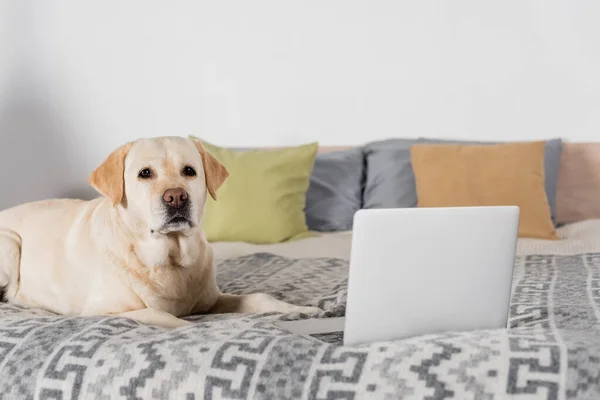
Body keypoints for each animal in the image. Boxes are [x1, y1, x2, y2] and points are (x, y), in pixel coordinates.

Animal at [0, 138, 322, 328]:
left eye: (190, 171)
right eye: (145, 173)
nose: (176, 197)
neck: (171, 258)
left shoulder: (211, 299)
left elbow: (258, 298)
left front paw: (300, 309)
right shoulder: (102, 310)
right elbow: (166, 316)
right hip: (11, 243)